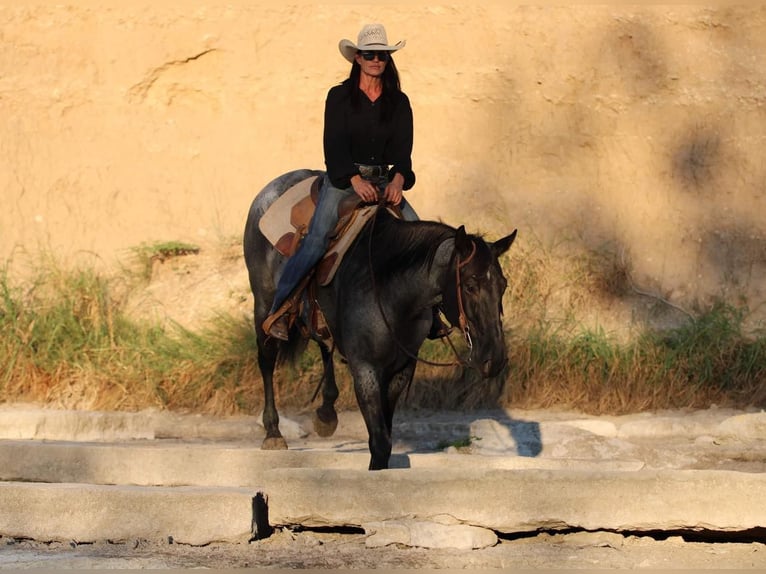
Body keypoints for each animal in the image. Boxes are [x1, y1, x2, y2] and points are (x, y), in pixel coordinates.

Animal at [243, 169, 520, 470]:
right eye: (469, 285)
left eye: (503, 285)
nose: (495, 359)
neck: (391, 289)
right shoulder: (366, 369)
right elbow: (380, 442)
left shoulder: (401, 369)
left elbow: (385, 435)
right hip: (263, 305)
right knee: (266, 359)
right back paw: (273, 432)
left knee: (324, 344)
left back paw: (326, 414)